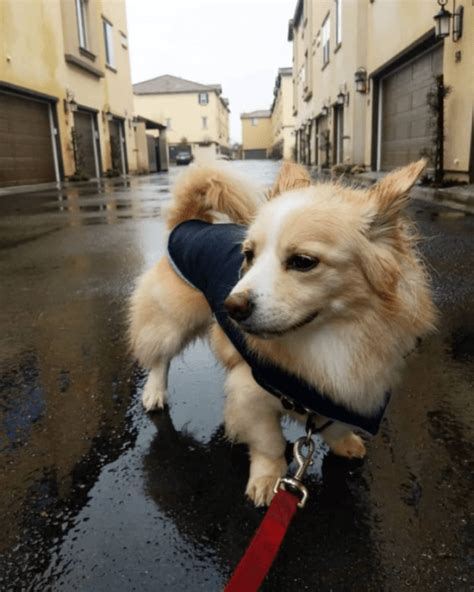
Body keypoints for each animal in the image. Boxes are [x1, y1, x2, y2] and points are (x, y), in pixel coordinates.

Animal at [128, 160, 436, 506]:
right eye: (248, 255)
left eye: (303, 262)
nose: (230, 306)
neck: (330, 334)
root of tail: (189, 221)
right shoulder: (251, 394)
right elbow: (269, 444)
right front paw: (267, 480)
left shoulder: (342, 392)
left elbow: (332, 425)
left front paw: (343, 441)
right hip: (171, 322)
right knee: (159, 358)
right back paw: (155, 392)